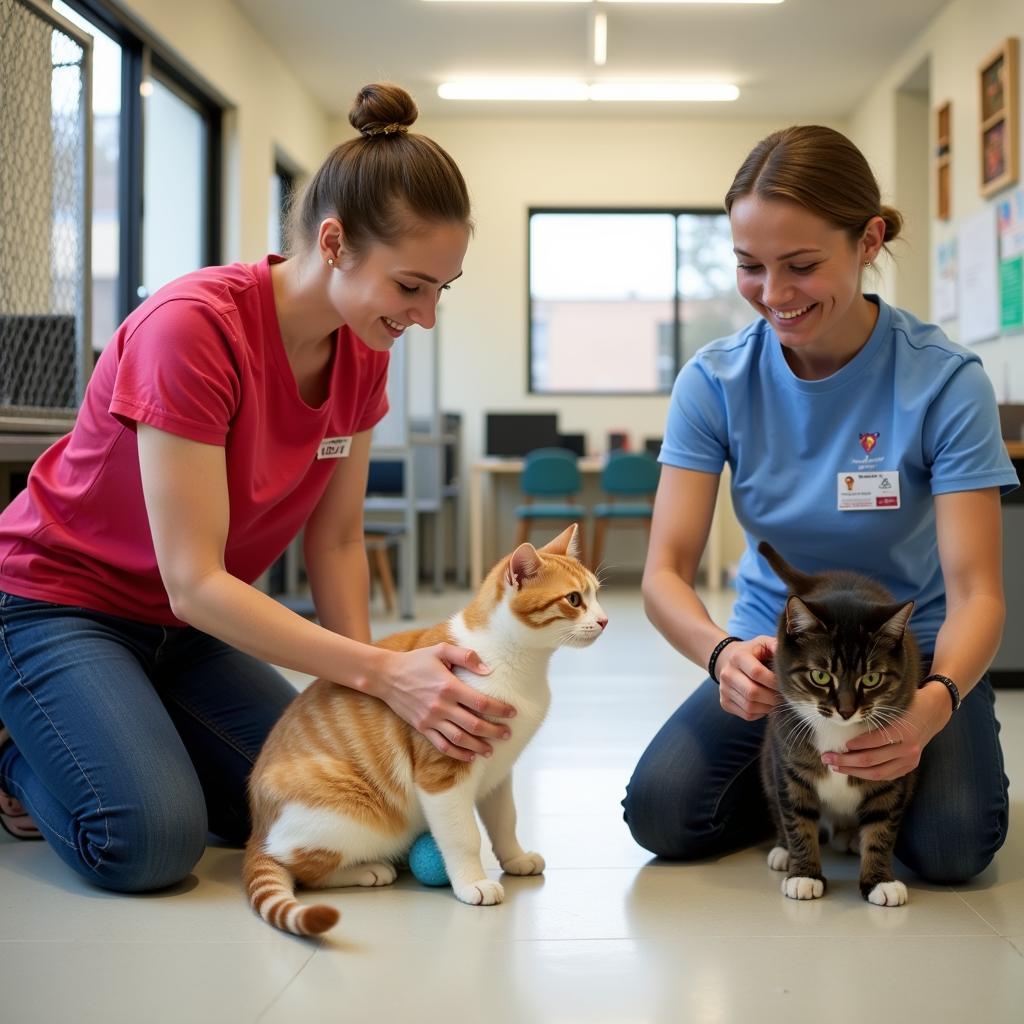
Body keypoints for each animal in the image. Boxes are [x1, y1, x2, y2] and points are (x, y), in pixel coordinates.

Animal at [242, 528, 602, 937]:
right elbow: (464, 835)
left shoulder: (499, 772)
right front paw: (472, 883)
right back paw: (367, 870)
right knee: (303, 868)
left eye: (596, 594)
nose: (604, 620)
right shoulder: (442, 774)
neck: (518, 664)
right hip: (349, 816)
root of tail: (258, 831)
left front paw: (515, 857)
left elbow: (504, 820)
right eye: (574, 599)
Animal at [761, 540, 921, 909]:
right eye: (821, 676)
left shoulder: (893, 768)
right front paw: (804, 875)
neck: (838, 731)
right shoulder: (789, 757)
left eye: (871, 678)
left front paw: (880, 881)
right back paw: (782, 850)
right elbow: (797, 816)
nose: (846, 710)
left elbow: (882, 823)